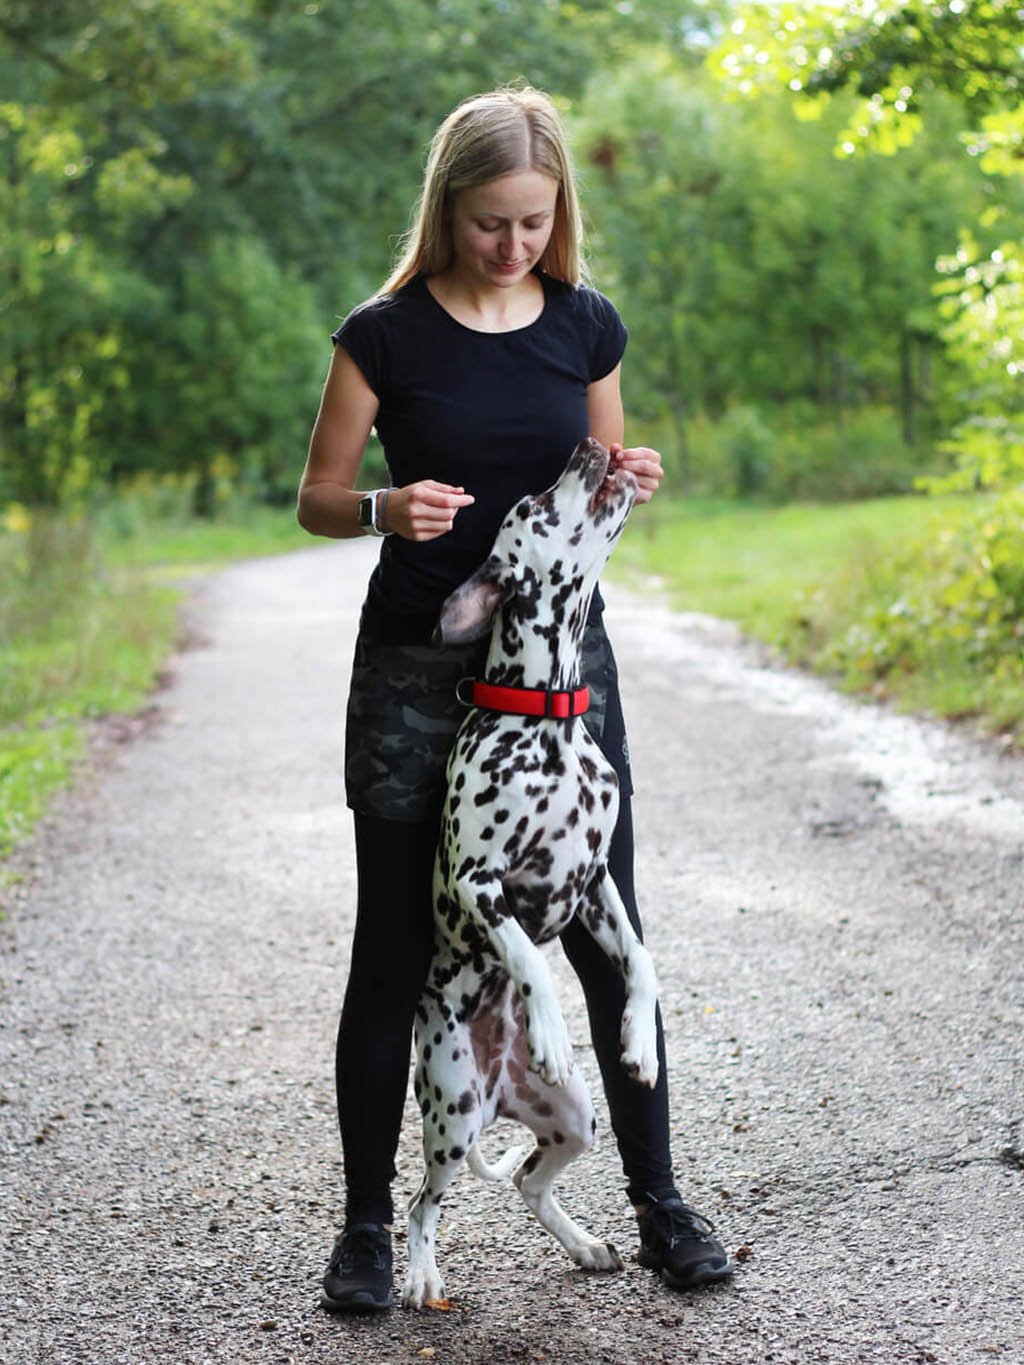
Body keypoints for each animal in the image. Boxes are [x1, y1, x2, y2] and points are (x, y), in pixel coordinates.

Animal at [404, 436, 660, 1310]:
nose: (591, 444)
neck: (543, 714)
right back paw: (419, 1274)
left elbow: (642, 961)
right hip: (450, 1116)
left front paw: (639, 1039)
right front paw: (548, 1025)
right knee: (420, 1202)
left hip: (575, 1120)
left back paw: (583, 1245)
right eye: (533, 504)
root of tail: (498, 1085)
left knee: (526, 1180)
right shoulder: (478, 882)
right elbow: (527, 958)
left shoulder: (595, 884)